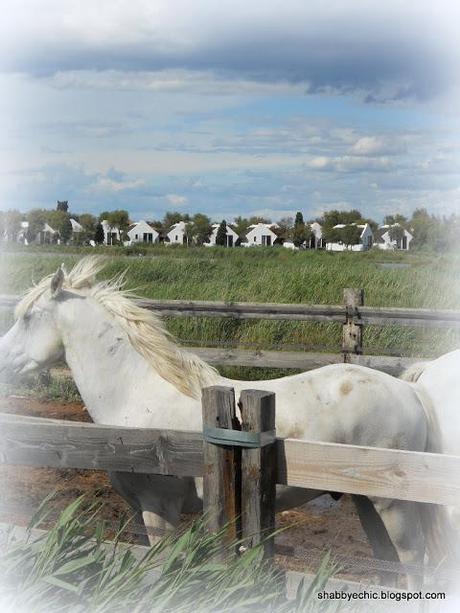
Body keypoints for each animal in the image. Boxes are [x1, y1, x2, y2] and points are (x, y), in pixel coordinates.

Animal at [0, 256, 452, 584]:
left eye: (27, 317)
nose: (2, 362)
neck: (137, 397)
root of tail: (412, 391)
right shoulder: (139, 511)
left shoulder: (159, 512)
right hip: (365, 503)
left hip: (396, 507)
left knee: (415, 566)